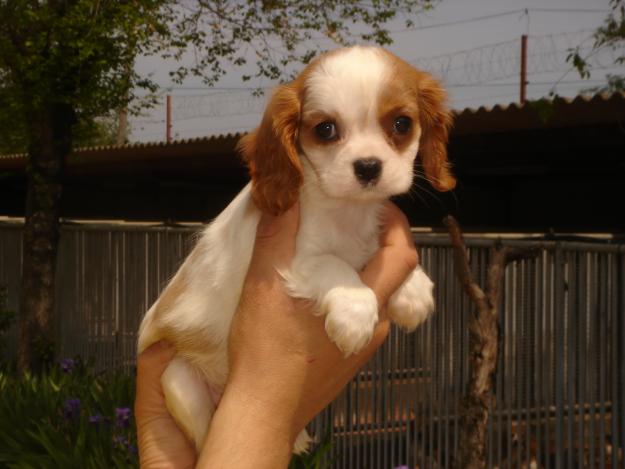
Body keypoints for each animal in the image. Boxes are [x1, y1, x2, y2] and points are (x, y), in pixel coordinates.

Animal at [136, 46, 454, 454]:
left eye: (401, 124)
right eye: (325, 129)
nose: (368, 166)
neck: (347, 213)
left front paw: (413, 291)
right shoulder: (297, 260)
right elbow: (335, 266)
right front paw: (355, 315)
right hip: (180, 380)